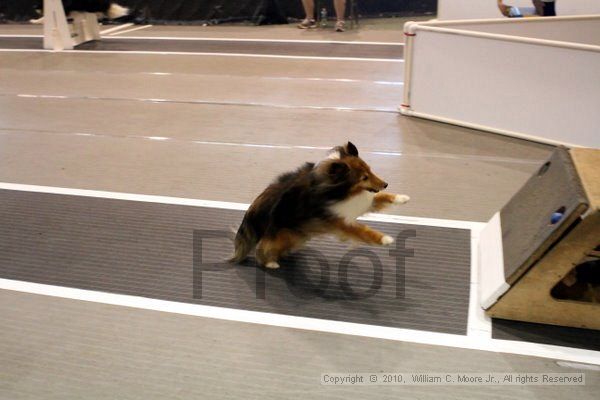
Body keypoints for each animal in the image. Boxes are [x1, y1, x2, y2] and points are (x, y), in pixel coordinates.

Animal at [232, 142, 410, 270]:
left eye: (370, 170)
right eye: (364, 177)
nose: (385, 184)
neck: (334, 189)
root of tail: (252, 212)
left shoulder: (355, 204)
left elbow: (380, 197)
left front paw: (402, 198)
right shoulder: (338, 221)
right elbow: (362, 230)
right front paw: (385, 239)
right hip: (285, 233)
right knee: (263, 246)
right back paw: (269, 263)